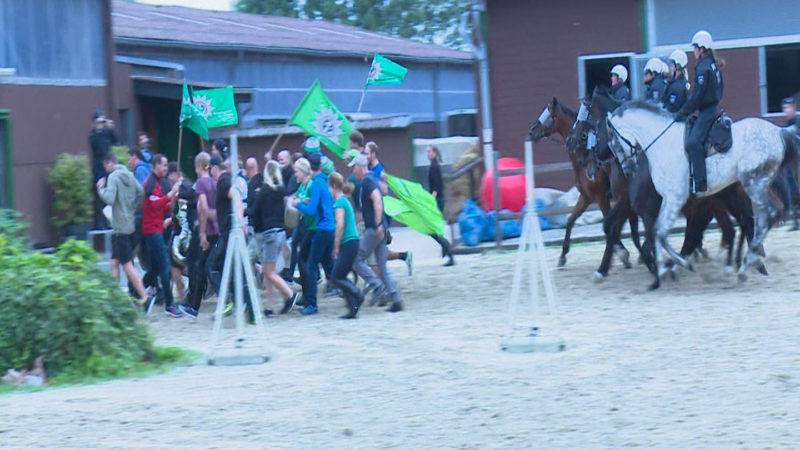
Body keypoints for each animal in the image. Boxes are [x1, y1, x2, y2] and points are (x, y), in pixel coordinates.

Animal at [528, 98, 640, 268]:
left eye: (549, 112)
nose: (532, 131)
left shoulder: (601, 198)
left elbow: (608, 224)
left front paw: (622, 253)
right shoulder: (586, 198)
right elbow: (570, 220)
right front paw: (563, 255)